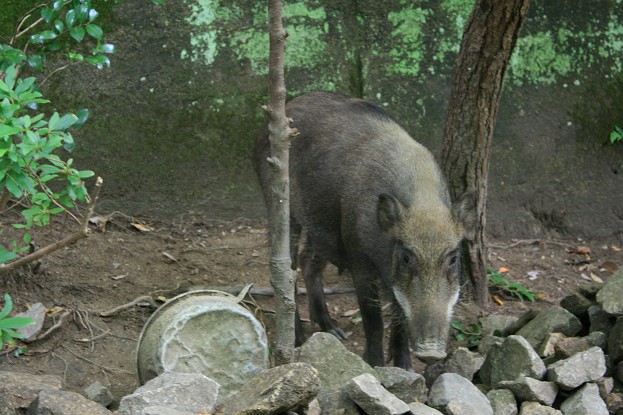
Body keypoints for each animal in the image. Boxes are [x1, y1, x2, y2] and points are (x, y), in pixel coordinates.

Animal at [253, 91, 475, 369]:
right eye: (406, 257)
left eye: (453, 258)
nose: (431, 353)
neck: (423, 204)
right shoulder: (358, 257)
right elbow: (374, 319)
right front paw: (375, 365)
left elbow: (400, 320)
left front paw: (404, 367)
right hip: (280, 206)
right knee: (286, 271)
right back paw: (300, 340)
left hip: (324, 228)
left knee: (307, 262)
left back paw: (335, 331)